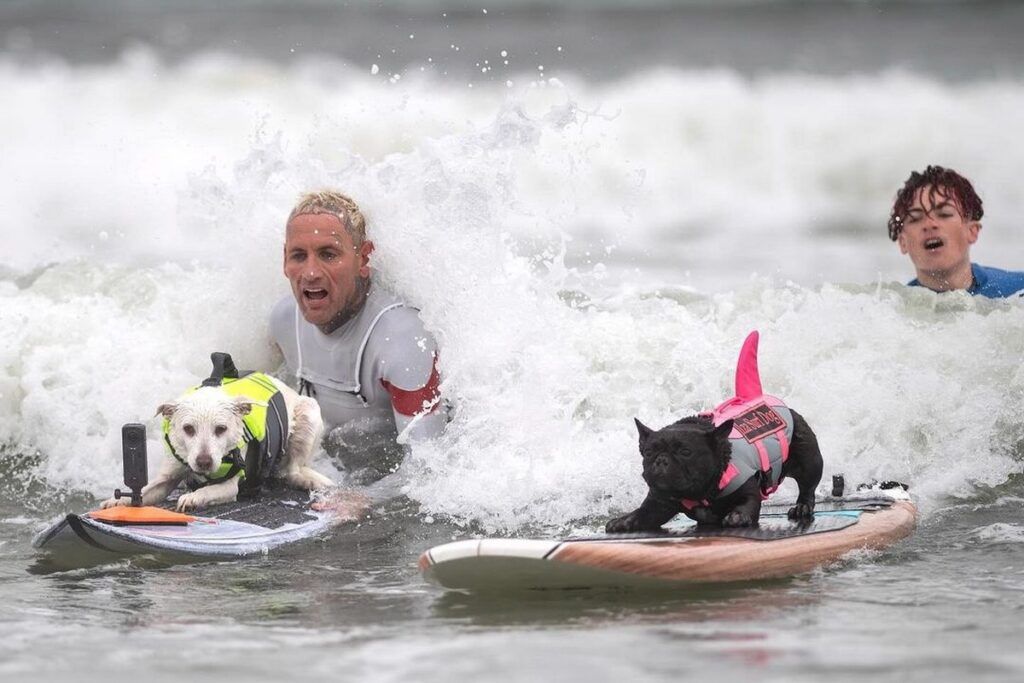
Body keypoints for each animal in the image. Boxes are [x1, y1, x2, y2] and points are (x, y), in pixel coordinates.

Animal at [102, 374, 331, 511]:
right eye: (188, 429)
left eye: (221, 429)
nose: (204, 462)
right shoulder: (167, 476)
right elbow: (146, 490)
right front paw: (116, 501)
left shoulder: (230, 485)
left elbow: (209, 490)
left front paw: (192, 498)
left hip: (309, 413)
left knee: (292, 470)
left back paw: (308, 481)